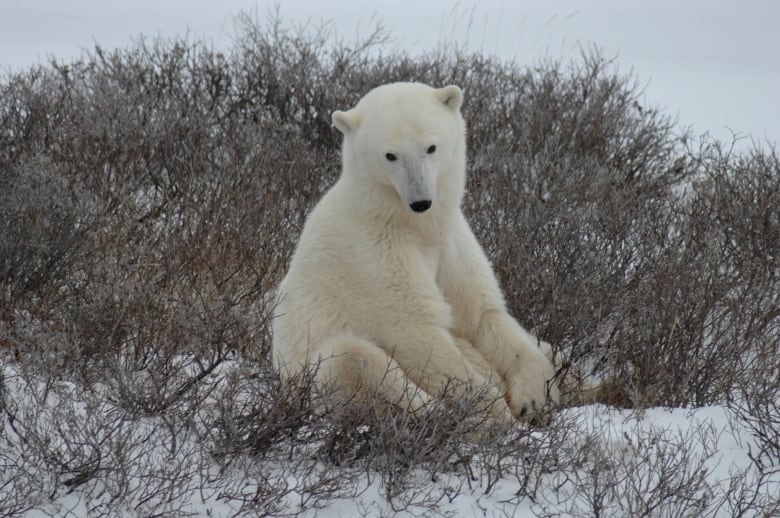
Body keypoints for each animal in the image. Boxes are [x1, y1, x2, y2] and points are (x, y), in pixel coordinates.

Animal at [272, 82, 556, 426]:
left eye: (431, 147)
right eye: (390, 155)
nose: (421, 201)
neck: (409, 222)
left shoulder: (450, 241)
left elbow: (482, 313)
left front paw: (531, 398)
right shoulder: (374, 253)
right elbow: (417, 332)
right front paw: (497, 415)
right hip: (310, 378)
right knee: (350, 359)